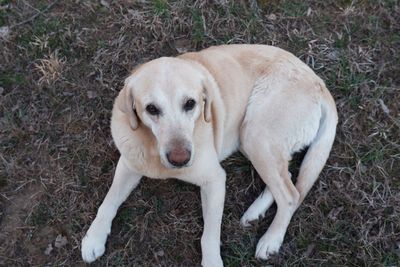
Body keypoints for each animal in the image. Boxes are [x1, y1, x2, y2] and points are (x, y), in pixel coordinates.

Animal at [81, 45, 338, 266]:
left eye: (190, 104)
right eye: (151, 109)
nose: (180, 159)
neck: (154, 148)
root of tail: (319, 83)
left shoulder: (214, 180)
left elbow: (210, 235)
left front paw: (212, 261)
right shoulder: (128, 164)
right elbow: (108, 201)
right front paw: (93, 238)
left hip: (255, 134)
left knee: (291, 195)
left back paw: (271, 239)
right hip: (252, 140)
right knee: (286, 180)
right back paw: (255, 212)